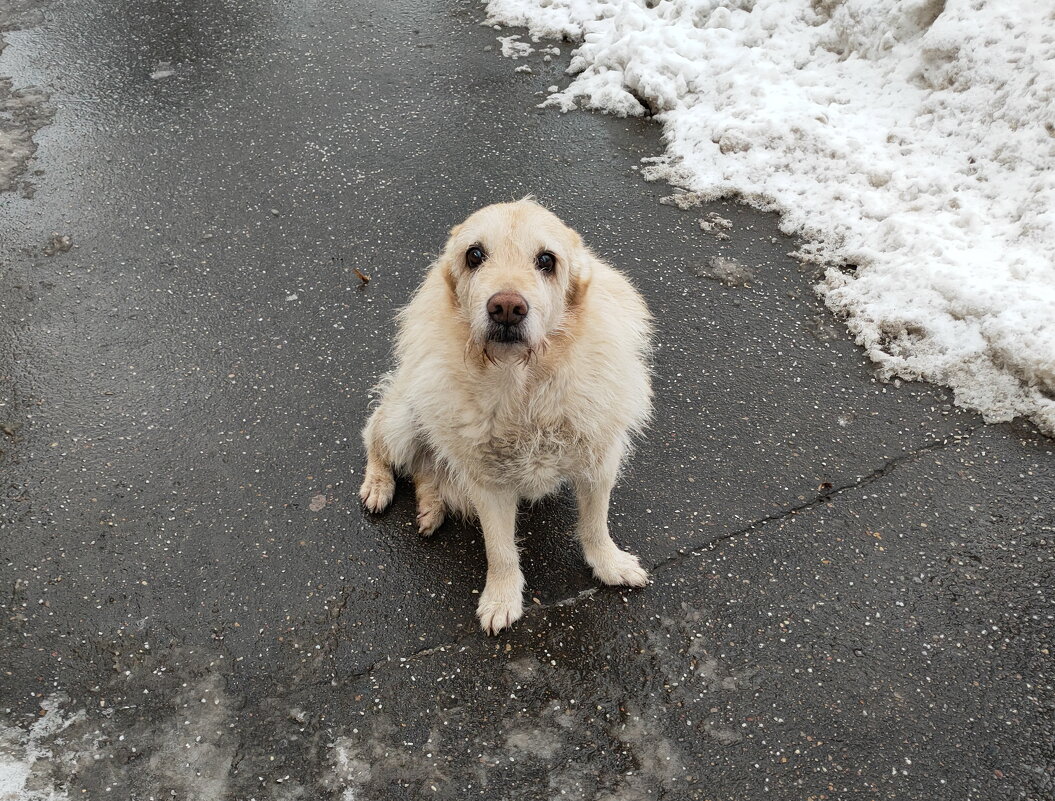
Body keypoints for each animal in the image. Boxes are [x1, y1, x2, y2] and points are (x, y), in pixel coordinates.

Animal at [360, 199, 649, 633]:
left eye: (546, 260)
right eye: (474, 255)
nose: (507, 308)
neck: (521, 384)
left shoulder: (599, 463)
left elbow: (596, 526)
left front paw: (609, 564)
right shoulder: (488, 484)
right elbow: (500, 549)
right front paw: (501, 598)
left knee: (429, 469)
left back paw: (431, 508)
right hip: (405, 417)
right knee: (376, 435)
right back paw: (378, 485)